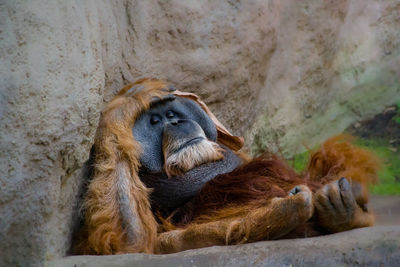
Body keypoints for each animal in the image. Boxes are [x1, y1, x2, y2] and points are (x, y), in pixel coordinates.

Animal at [72, 78, 382, 255]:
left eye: (172, 114)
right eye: (155, 122)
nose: (177, 122)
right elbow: (131, 239)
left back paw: (345, 205)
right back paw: (294, 212)